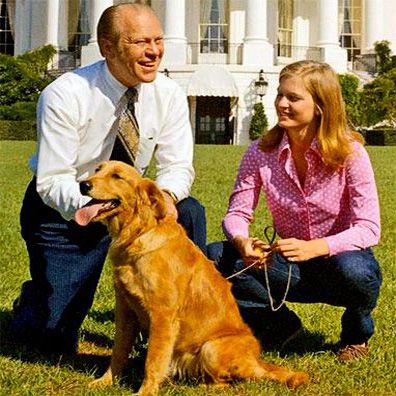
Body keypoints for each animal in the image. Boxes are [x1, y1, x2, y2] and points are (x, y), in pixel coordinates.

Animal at [75, 162, 310, 396]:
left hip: (211, 348)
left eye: (117, 176)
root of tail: (256, 361)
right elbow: (119, 351)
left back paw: (203, 386)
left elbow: (153, 360)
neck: (137, 235)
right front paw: (105, 381)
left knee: (228, 382)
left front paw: (145, 391)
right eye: (97, 169)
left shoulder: (162, 315)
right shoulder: (125, 309)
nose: (83, 184)